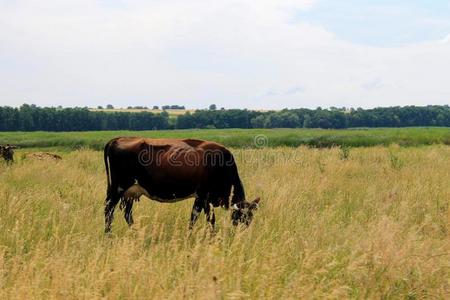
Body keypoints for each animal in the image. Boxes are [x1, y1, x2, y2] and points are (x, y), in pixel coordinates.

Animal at [103, 137, 260, 233]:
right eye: (240, 217)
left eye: (250, 218)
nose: (242, 235)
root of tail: (116, 139)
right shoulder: (204, 196)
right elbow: (206, 219)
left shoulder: (201, 198)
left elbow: (197, 217)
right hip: (118, 189)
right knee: (108, 211)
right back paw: (108, 236)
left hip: (129, 193)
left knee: (127, 213)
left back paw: (136, 232)